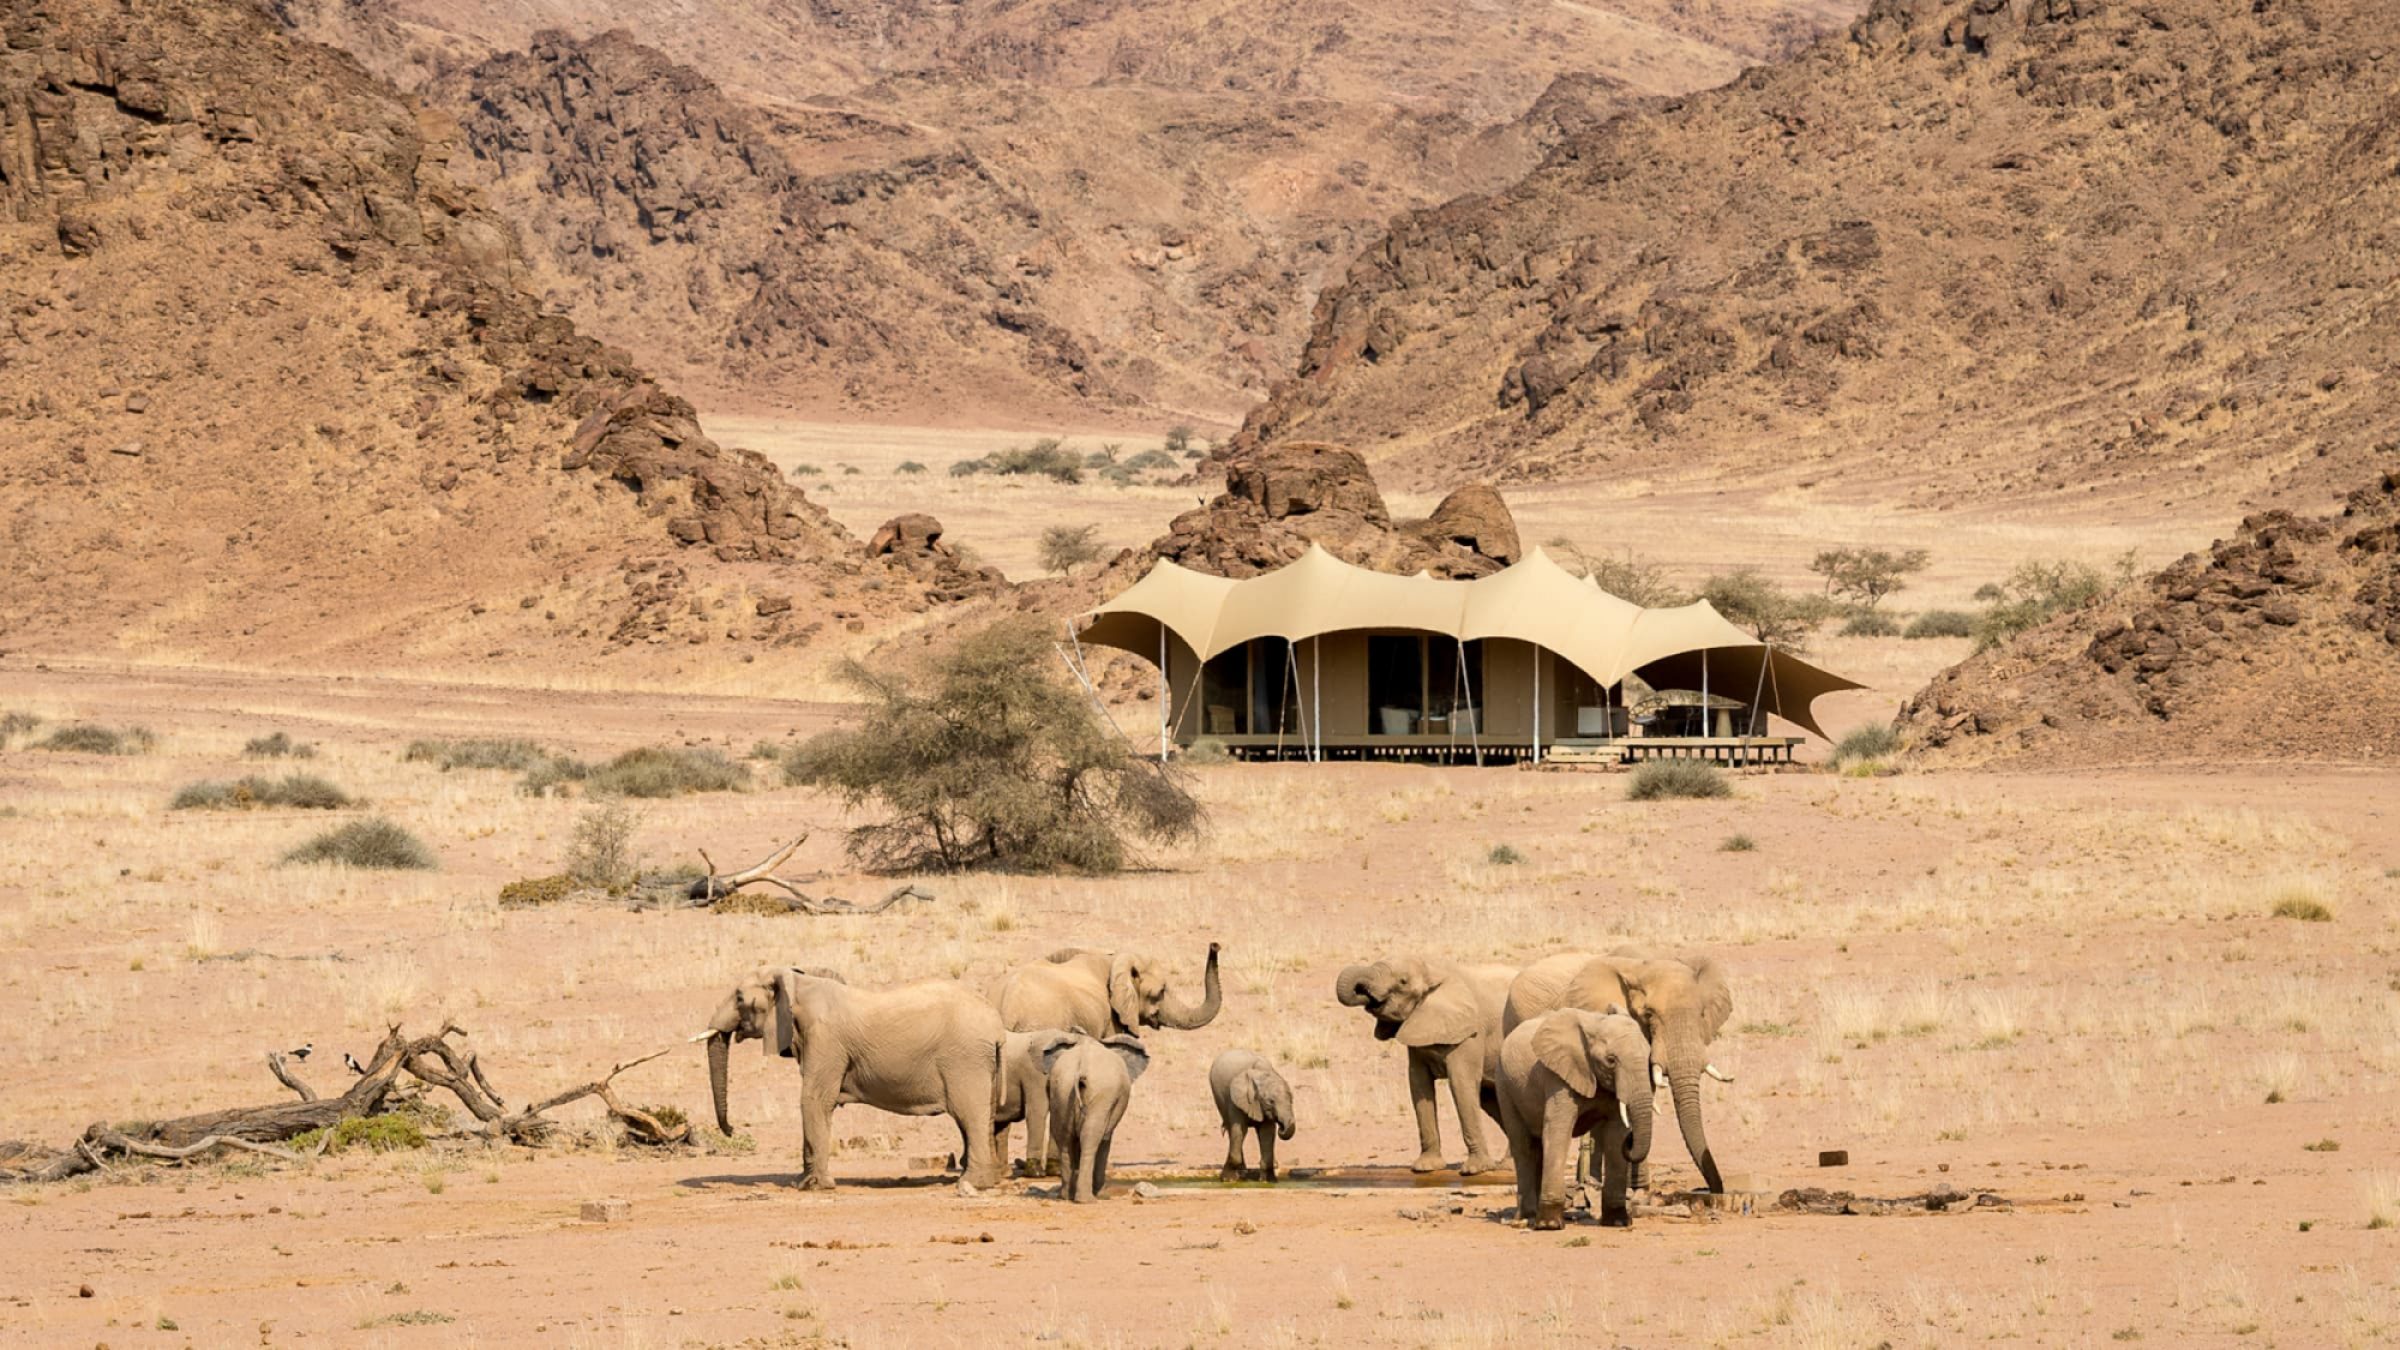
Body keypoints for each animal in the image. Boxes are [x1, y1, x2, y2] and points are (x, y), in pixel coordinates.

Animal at [696, 956, 1003, 1186]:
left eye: (739, 998)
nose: (731, 1130)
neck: (800, 983)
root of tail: (994, 1021)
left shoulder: (826, 1040)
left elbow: (813, 1100)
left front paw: (813, 1186)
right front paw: (802, 1181)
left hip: (965, 1059)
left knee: (969, 1115)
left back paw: (971, 1184)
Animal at [1032, 1028, 1152, 1196]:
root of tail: (1083, 1065)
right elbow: (1105, 1140)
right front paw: (1103, 1195)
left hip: (1062, 1091)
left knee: (1065, 1142)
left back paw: (1066, 1196)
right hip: (1099, 1095)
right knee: (1091, 1140)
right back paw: (1087, 1198)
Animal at [1334, 956, 1516, 1167]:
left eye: (1403, 982)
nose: (1364, 994)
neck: (1432, 971)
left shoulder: (1471, 1032)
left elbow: (1460, 1083)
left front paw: (1476, 1169)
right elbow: (1419, 1083)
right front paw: (1426, 1167)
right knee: (1489, 1097)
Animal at [1488, 1008, 1660, 1220]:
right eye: (1611, 1060)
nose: (1631, 1139)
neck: (1595, 1024)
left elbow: (1615, 1136)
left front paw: (1618, 1221)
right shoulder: (1557, 1075)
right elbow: (1558, 1130)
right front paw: (1550, 1223)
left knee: (1538, 1146)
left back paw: (1533, 1214)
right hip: (1504, 1084)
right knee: (1523, 1145)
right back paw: (1527, 1217)